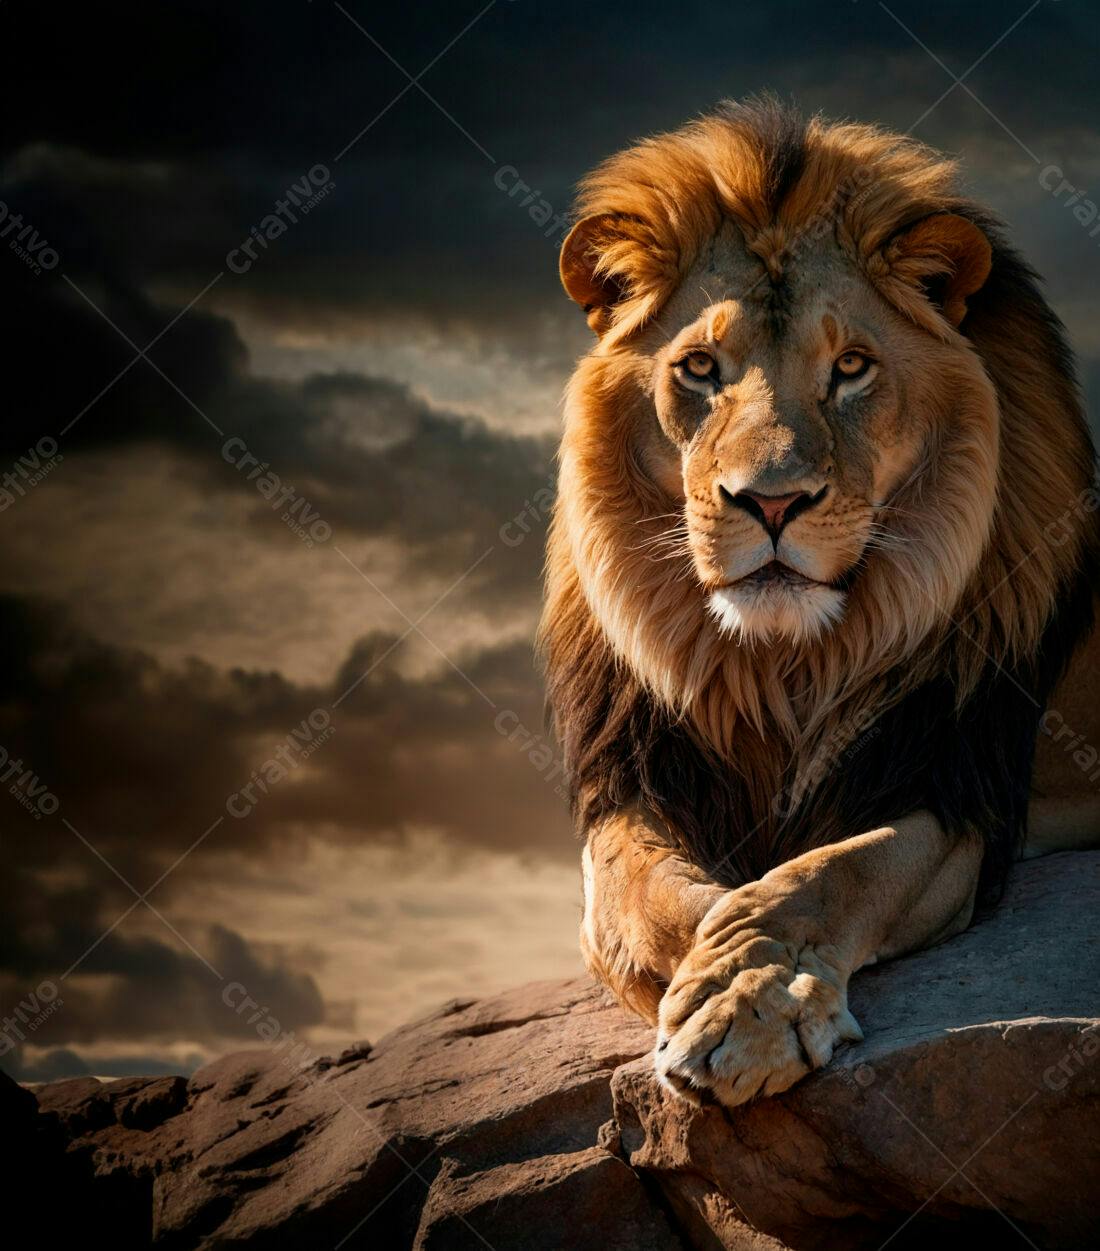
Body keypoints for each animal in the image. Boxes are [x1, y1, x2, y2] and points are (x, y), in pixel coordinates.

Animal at [540, 98, 1100, 1108]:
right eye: (700, 368)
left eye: (850, 366)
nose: (770, 502)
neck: (780, 661)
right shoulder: (634, 786)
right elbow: (671, 901)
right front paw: (728, 978)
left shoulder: (951, 780)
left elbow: (822, 873)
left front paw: (750, 999)